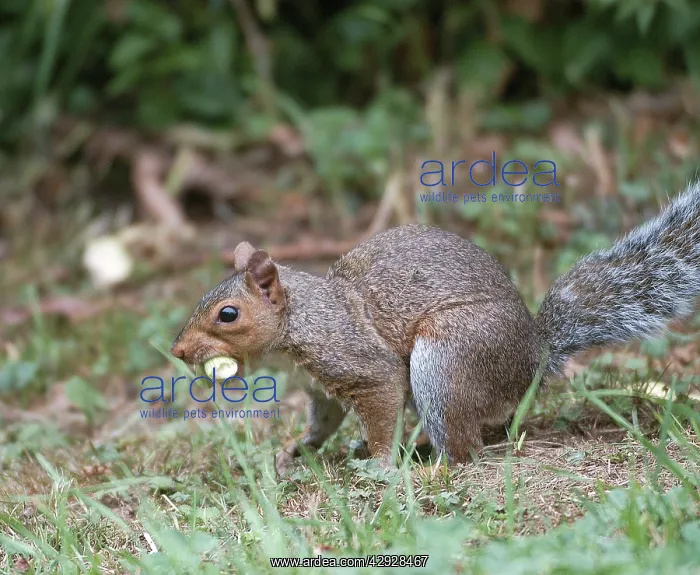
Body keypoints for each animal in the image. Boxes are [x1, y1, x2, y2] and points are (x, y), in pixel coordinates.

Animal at [171, 182, 700, 475]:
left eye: (228, 314)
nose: (177, 351)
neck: (302, 319)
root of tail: (534, 358)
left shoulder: (358, 362)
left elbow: (381, 401)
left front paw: (381, 464)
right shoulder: (320, 387)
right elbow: (323, 422)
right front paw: (295, 450)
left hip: (448, 359)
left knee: (465, 449)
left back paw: (428, 467)